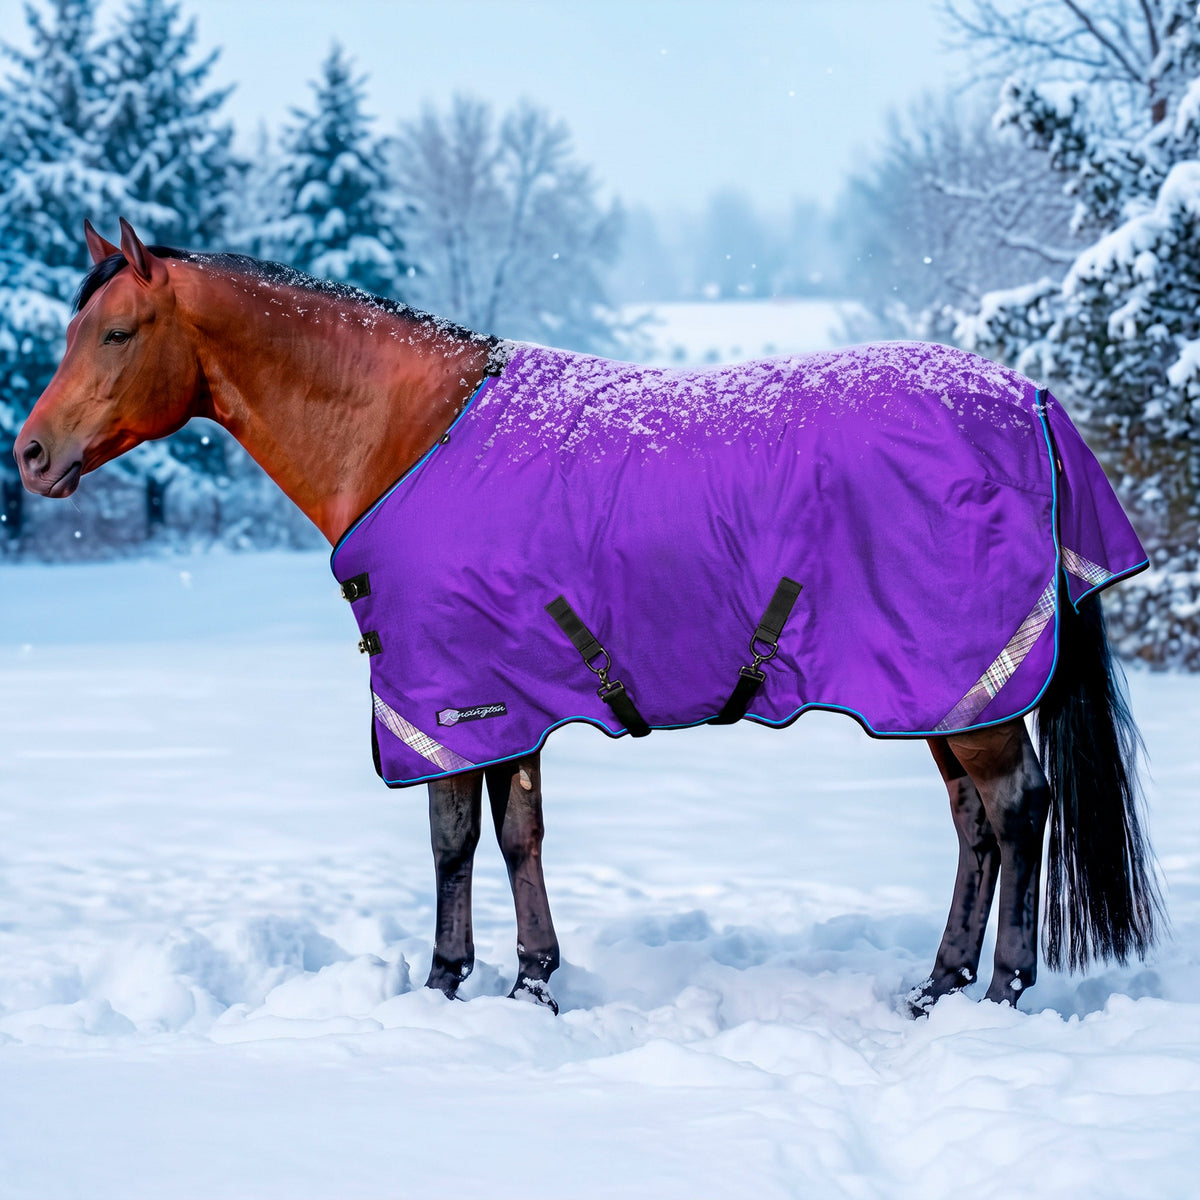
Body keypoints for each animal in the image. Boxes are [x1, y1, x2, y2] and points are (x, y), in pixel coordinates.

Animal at [14, 219, 1162, 1016]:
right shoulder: (507, 701)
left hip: (967, 688)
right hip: (942, 694)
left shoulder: (447, 698)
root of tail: (1030, 403)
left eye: (117, 332)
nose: (30, 453)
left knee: (1018, 810)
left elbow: (451, 840)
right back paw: (937, 985)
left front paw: (445, 984)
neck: (408, 435)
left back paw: (1003, 990)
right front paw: (529, 982)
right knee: (975, 824)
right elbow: (516, 834)